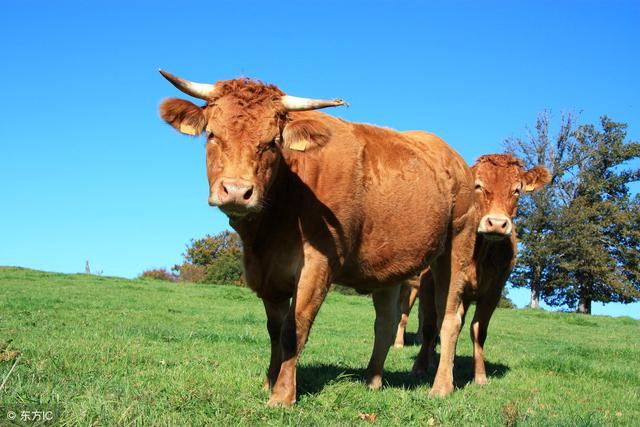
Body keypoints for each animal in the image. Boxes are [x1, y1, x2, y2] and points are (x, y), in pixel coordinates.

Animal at [158, 70, 478, 404]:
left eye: (272, 143)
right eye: (212, 135)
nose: (236, 191)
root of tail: (454, 157)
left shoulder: (318, 264)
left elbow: (293, 330)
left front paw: (282, 395)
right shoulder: (269, 274)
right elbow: (274, 330)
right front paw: (270, 381)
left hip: (458, 243)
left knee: (449, 318)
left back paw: (441, 387)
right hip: (390, 265)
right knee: (386, 323)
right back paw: (372, 381)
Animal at [412, 154, 552, 388]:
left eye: (517, 190)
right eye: (478, 186)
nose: (496, 223)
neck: (480, 255)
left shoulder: (494, 291)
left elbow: (478, 331)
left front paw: (479, 375)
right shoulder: (437, 283)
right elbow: (432, 326)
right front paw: (426, 368)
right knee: (433, 325)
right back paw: (427, 363)